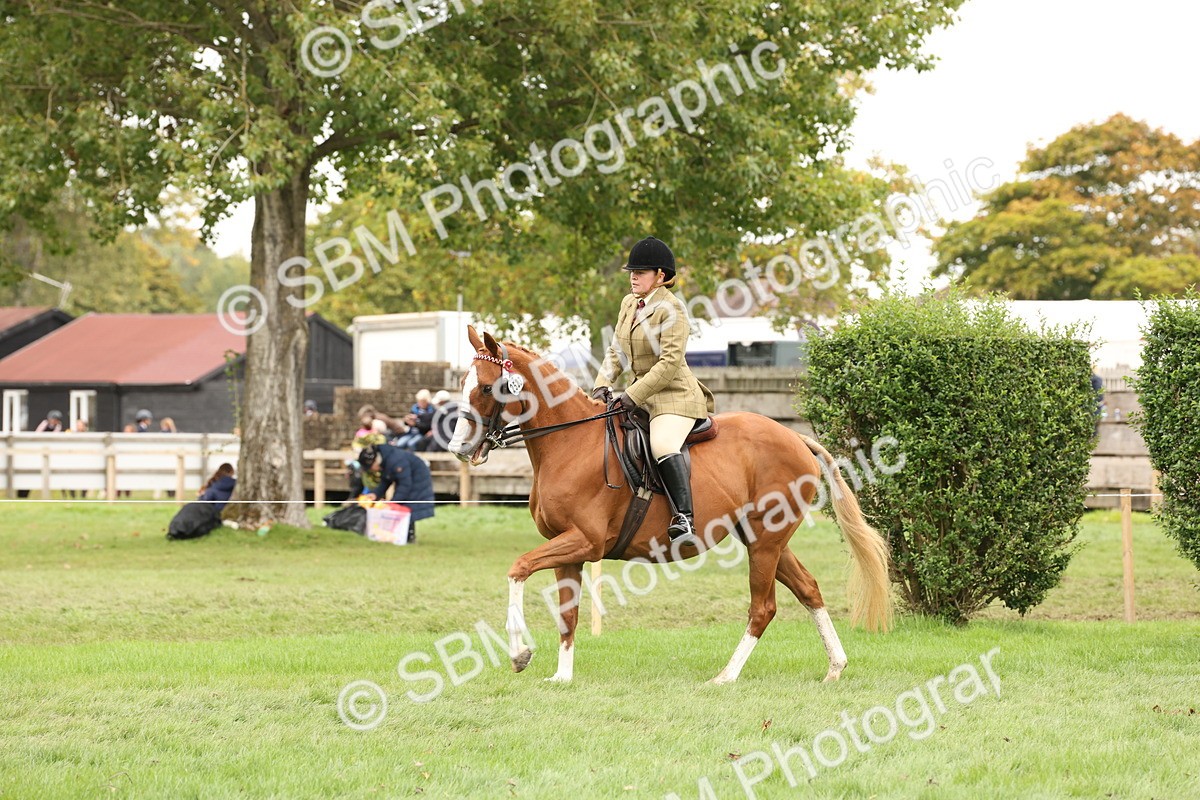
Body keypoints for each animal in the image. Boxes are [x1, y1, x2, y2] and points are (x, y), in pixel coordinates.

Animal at [448, 326, 891, 684]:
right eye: (464, 383)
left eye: (487, 388)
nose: (458, 448)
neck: (569, 443)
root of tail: (795, 438)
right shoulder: (568, 548)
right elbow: (567, 614)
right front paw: (562, 676)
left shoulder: (584, 541)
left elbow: (518, 568)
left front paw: (519, 654)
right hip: (763, 539)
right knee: (808, 590)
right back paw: (835, 667)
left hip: (766, 542)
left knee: (762, 608)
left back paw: (726, 676)